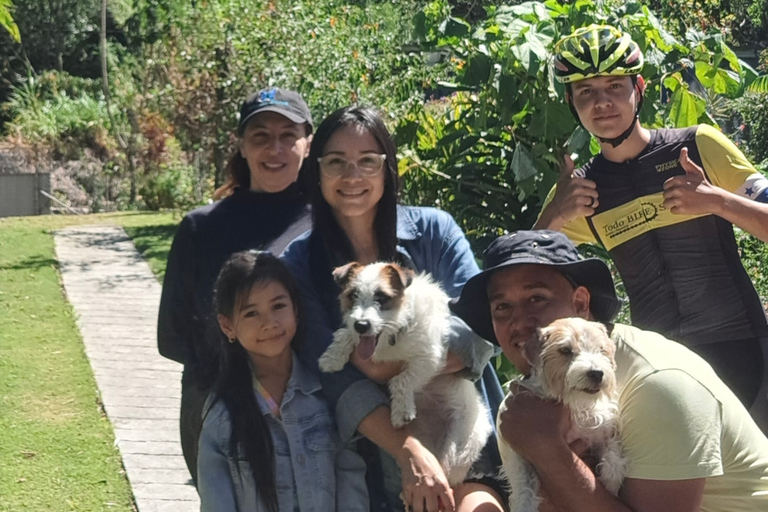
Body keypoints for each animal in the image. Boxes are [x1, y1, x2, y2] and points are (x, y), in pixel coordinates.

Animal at [320, 262, 492, 486]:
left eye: (381, 297)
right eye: (353, 295)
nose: (362, 325)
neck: (395, 330)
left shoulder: (429, 357)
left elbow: (400, 380)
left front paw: (401, 411)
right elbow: (344, 334)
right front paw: (332, 358)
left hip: (457, 449)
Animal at [500, 318, 628, 510]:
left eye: (601, 349)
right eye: (566, 350)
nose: (597, 373)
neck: (573, 403)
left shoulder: (600, 432)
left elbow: (612, 455)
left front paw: (610, 482)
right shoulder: (519, 456)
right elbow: (524, 488)